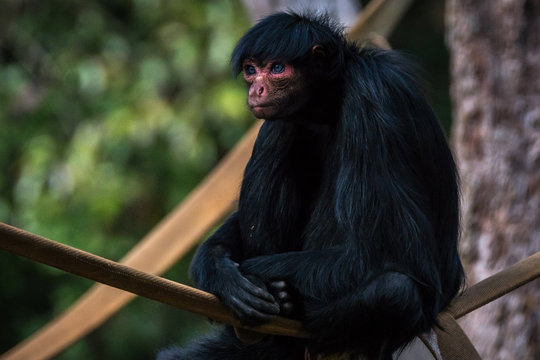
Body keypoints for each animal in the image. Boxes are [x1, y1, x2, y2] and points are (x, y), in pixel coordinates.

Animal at [157, 11, 464, 360]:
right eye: (251, 70)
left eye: (277, 68)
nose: (257, 89)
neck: (332, 101)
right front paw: (220, 272)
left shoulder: (373, 100)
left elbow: (397, 252)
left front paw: (251, 274)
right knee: (281, 128)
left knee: (395, 291)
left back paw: (285, 308)